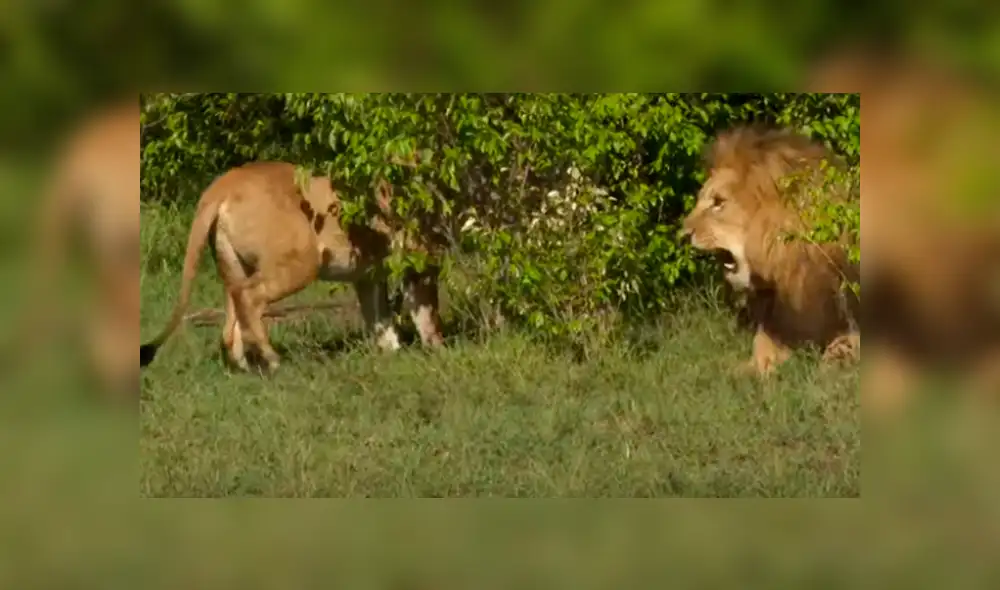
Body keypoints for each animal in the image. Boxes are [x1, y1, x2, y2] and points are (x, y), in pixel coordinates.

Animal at [138, 161, 445, 374]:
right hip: (302, 262)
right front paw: (434, 345)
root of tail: (222, 185)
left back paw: (245, 367)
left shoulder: (368, 276)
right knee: (250, 299)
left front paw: (391, 350)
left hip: (233, 266)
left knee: (232, 316)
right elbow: (424, 309)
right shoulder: (417, 265)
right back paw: (274, 361)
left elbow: (379, 314)